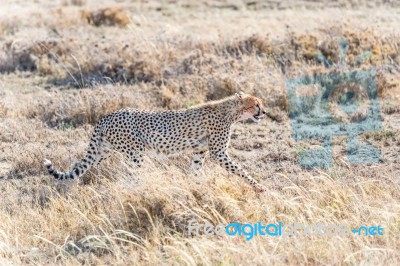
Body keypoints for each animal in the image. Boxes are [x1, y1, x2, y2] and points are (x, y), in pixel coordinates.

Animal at [43, 92, 268, 192]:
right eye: (256, 104)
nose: (265, 112)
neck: (230, 111)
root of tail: (107, 116)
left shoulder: (199, 152)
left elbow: (195, 172)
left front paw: (196, 188)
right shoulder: (218, 153)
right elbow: (240, 170)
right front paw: (258, 187)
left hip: (102, 151)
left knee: (78, 166)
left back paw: (69, 189)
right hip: (135, 153)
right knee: (132, 175)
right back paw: (139, 189)